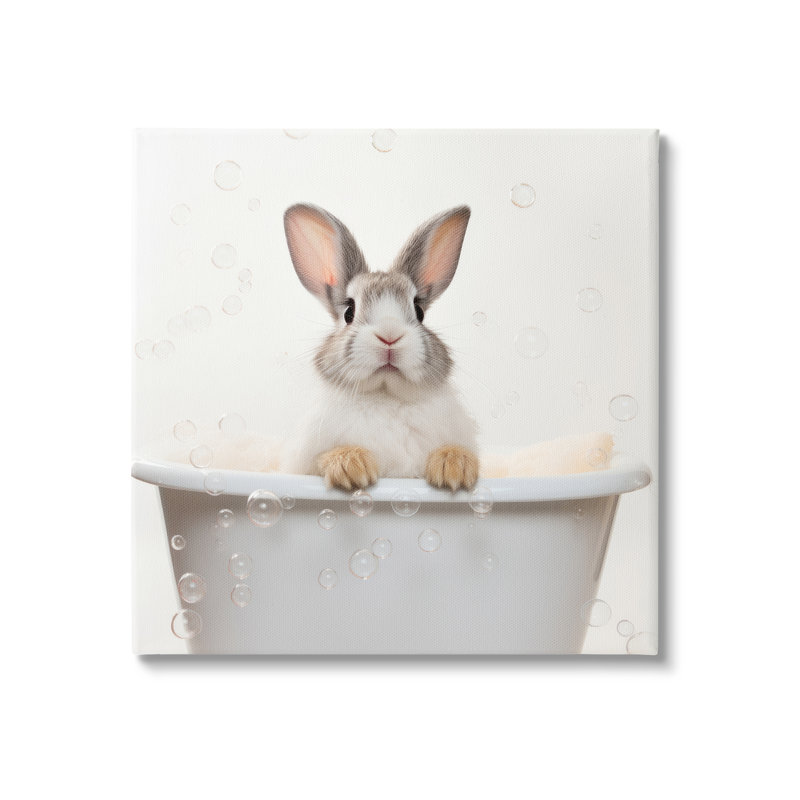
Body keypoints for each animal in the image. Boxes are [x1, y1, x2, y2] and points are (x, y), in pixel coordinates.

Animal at [279, 203, 479, 492]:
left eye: (419, 311)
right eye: (349, 312)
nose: (389, 335)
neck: (385, 395)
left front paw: (454, 468)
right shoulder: (304, 460)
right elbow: (323, 459)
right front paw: (353, 467)